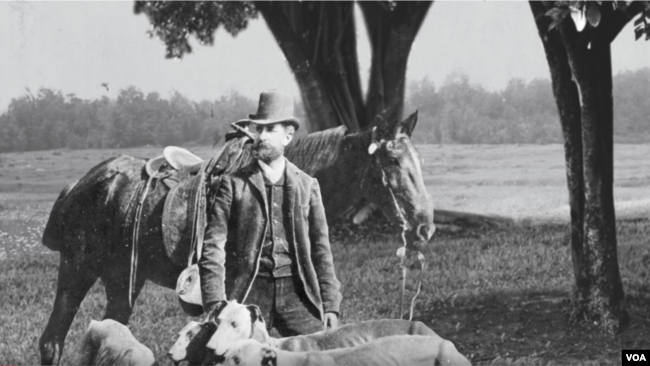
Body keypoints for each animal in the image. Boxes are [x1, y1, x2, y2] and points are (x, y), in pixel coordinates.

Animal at [38, 106, 432, 364]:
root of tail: (81, 184)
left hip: (123, 281)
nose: (425, 225)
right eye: (393, 162)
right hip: (76, 271)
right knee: (51, 342)